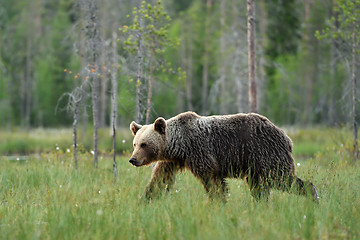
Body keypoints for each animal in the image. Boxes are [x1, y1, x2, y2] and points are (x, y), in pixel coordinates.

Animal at [129, 111, 318, 202]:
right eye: (135, 144)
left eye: (144, 144)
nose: (133, 159)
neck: (180, 146)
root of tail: (286, 136)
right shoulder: (172, 161)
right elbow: (159, 181)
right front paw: (145, 200)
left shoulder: (201, 152)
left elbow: (214, 182)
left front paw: (217, 202)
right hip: (255, 166)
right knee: (259, 187)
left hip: (265, 153)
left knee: (282, 178)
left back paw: (313, 196)